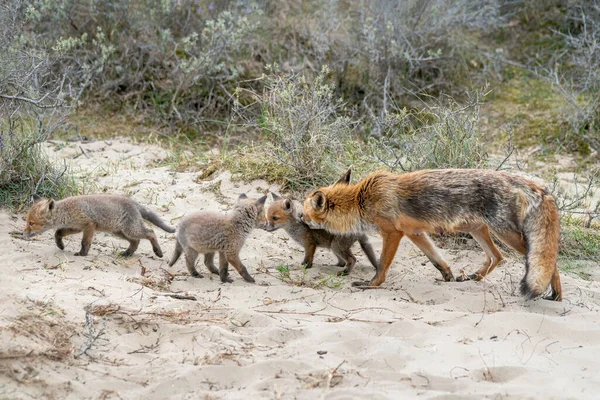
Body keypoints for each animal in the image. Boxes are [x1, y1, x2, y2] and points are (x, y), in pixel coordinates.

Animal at [24, 194, 175, 256]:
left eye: (31, 223)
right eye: (27, 221)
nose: (22, 233)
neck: (67, 211)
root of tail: (134, 203)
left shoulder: (89, 225)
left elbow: (85, 242)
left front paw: (82, 254)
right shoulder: (76, 227)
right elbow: (58, 232)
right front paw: (60, 245)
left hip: (130, 230)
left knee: (150, 233)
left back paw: (158, 252)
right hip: (120, 232)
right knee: (136, 241)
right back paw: (127, 254)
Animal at [304, 167, 564, 302]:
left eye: (304, 213)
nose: (299, 219)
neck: (360, 199)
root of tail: (518, 178)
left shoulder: (393, 233)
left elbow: (382, 266)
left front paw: (371, 284)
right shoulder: (415, 233)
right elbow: (437, 259)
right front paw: (447, 276)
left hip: (507, 234)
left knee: (549, 261)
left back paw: (556, 295)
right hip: (477, 230)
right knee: (497, 257)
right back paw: (473, 277)